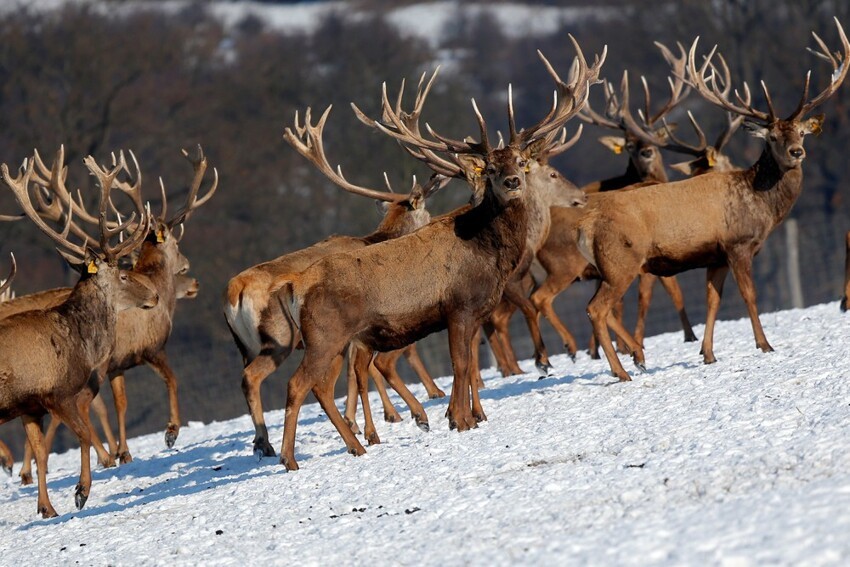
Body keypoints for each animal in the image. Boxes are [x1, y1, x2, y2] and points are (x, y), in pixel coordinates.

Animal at [0, 152, 158, 520]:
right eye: (123, 274)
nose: (155, 295)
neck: (79, 342)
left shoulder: (30, 407)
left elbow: (42, 456)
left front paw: (46, 508)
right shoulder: (57, 393)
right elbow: (83, 436)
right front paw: (81, 492)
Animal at [572, 18, 844, 382]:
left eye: (801, 133)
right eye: (772, 137)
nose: (796, 153)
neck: (759, 205)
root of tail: (584, 227)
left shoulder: (715, 256)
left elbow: (713, 300)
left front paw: (709, 354)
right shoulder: (737, 244)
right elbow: (749, 296)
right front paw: (765, 345)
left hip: (606, 268)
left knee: (602, 309)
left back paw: (634, 358)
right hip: (621, 261)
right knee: (597, 309)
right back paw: (624, 370)